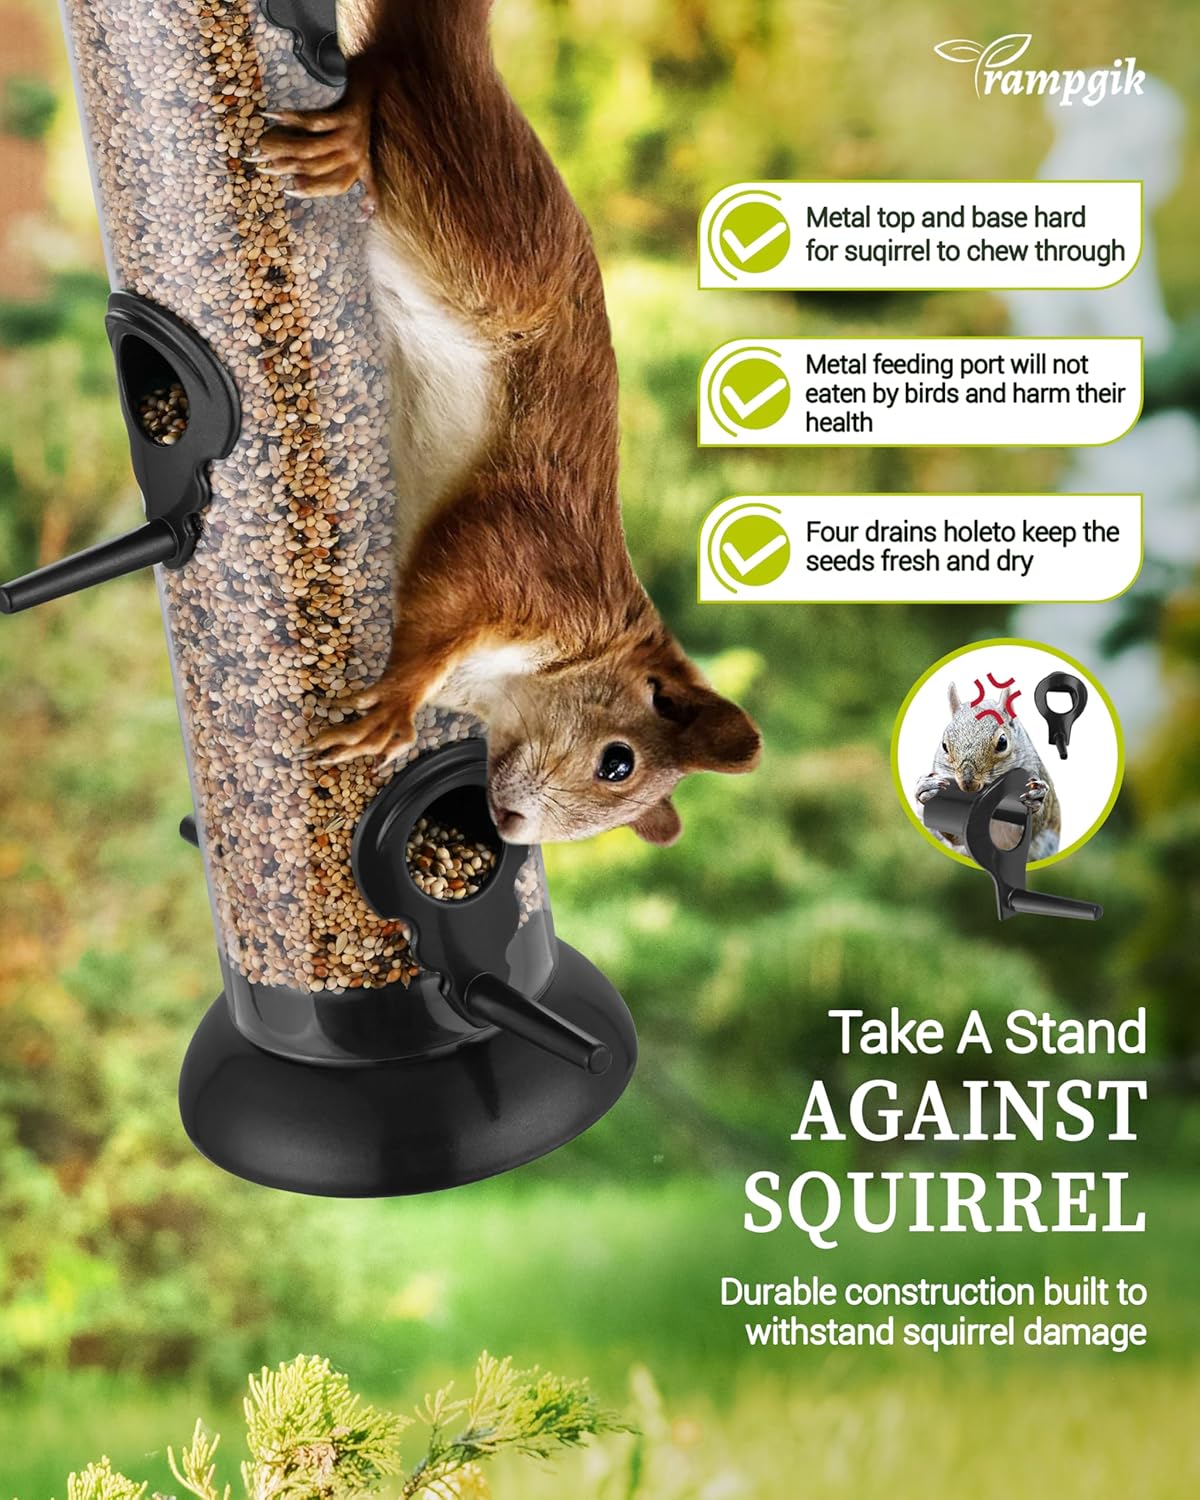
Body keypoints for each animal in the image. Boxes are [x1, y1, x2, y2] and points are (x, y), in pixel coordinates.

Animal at [251, 0, 760, 847]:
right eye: (617, 763)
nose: (515, 827)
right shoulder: (523, 558)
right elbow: (443, 596)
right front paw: (398, 701)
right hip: (490, 245)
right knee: (398, 79)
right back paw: (350, 125)